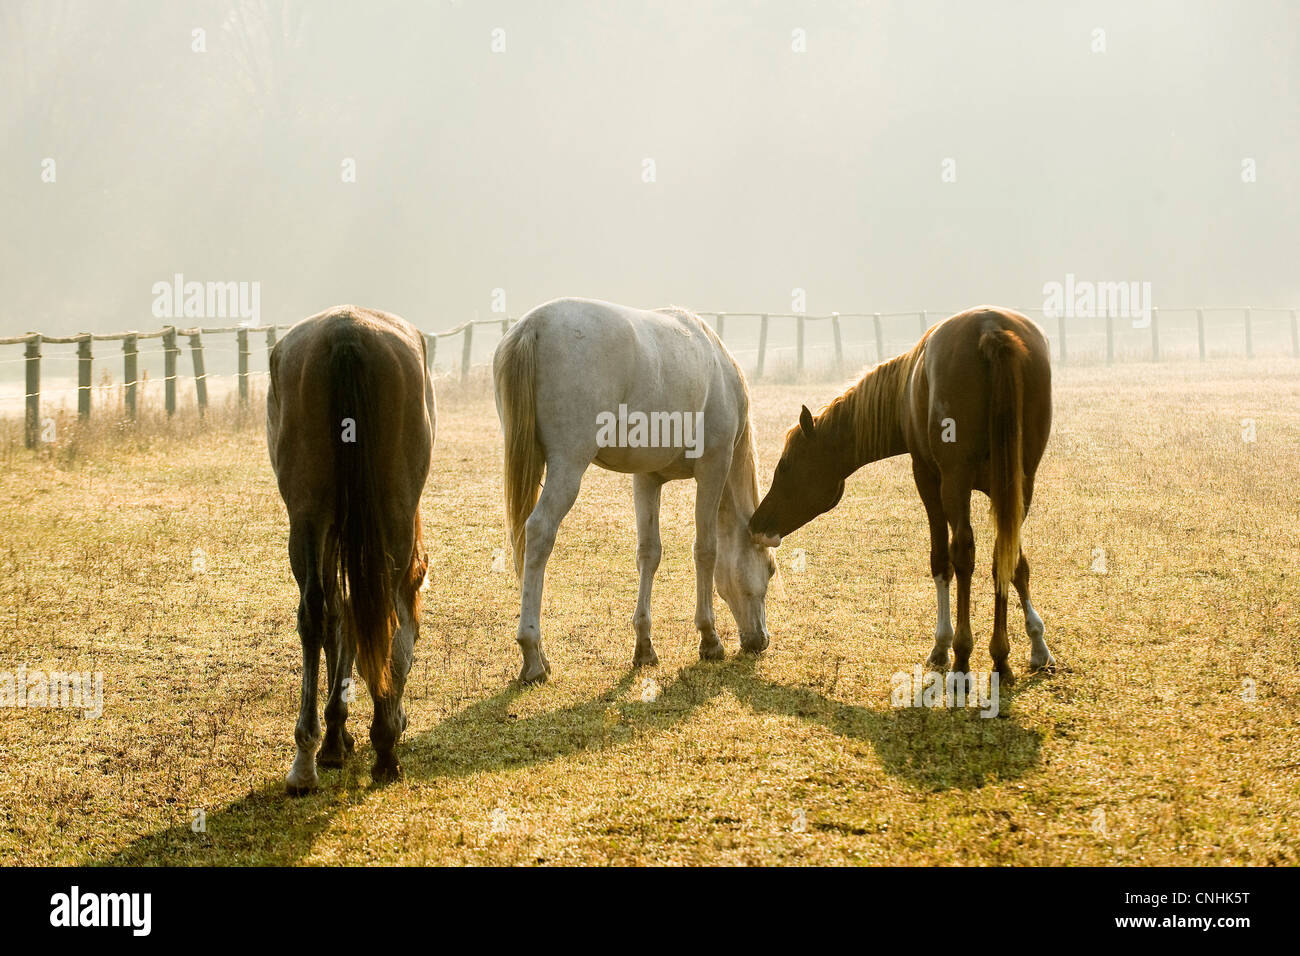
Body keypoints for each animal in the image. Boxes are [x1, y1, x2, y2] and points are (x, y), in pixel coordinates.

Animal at [265, 306, 436, 790]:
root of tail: (347, 331)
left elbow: (340, 617)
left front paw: (334, 737)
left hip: (308, 513)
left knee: (316, 612)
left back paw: (306, 759)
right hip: (383, 511)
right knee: (385, 611)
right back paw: (384, 746)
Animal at [488, 295, 769, 686]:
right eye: (770, 569)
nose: (760, 641)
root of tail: (534, 324)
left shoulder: (647, 478)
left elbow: (649, 553)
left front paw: (645, 646)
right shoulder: (713, 468)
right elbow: (706, 550)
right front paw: (709, 638)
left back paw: (541, 655)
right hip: (568, 467)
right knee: (539, 532)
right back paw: (532, 656)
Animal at [748, 303, 1050, 686]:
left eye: (785, 466)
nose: (755, 524)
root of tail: (989, 327)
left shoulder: (928, 479)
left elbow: (942, 559)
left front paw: (942, 646)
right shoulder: (1013, 490)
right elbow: (1017, 563)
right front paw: (1037, 645)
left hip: (955, 483)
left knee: (963, 553)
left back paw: (964, 655)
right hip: (1017, 482)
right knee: (1002, 555)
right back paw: (1000, 658)